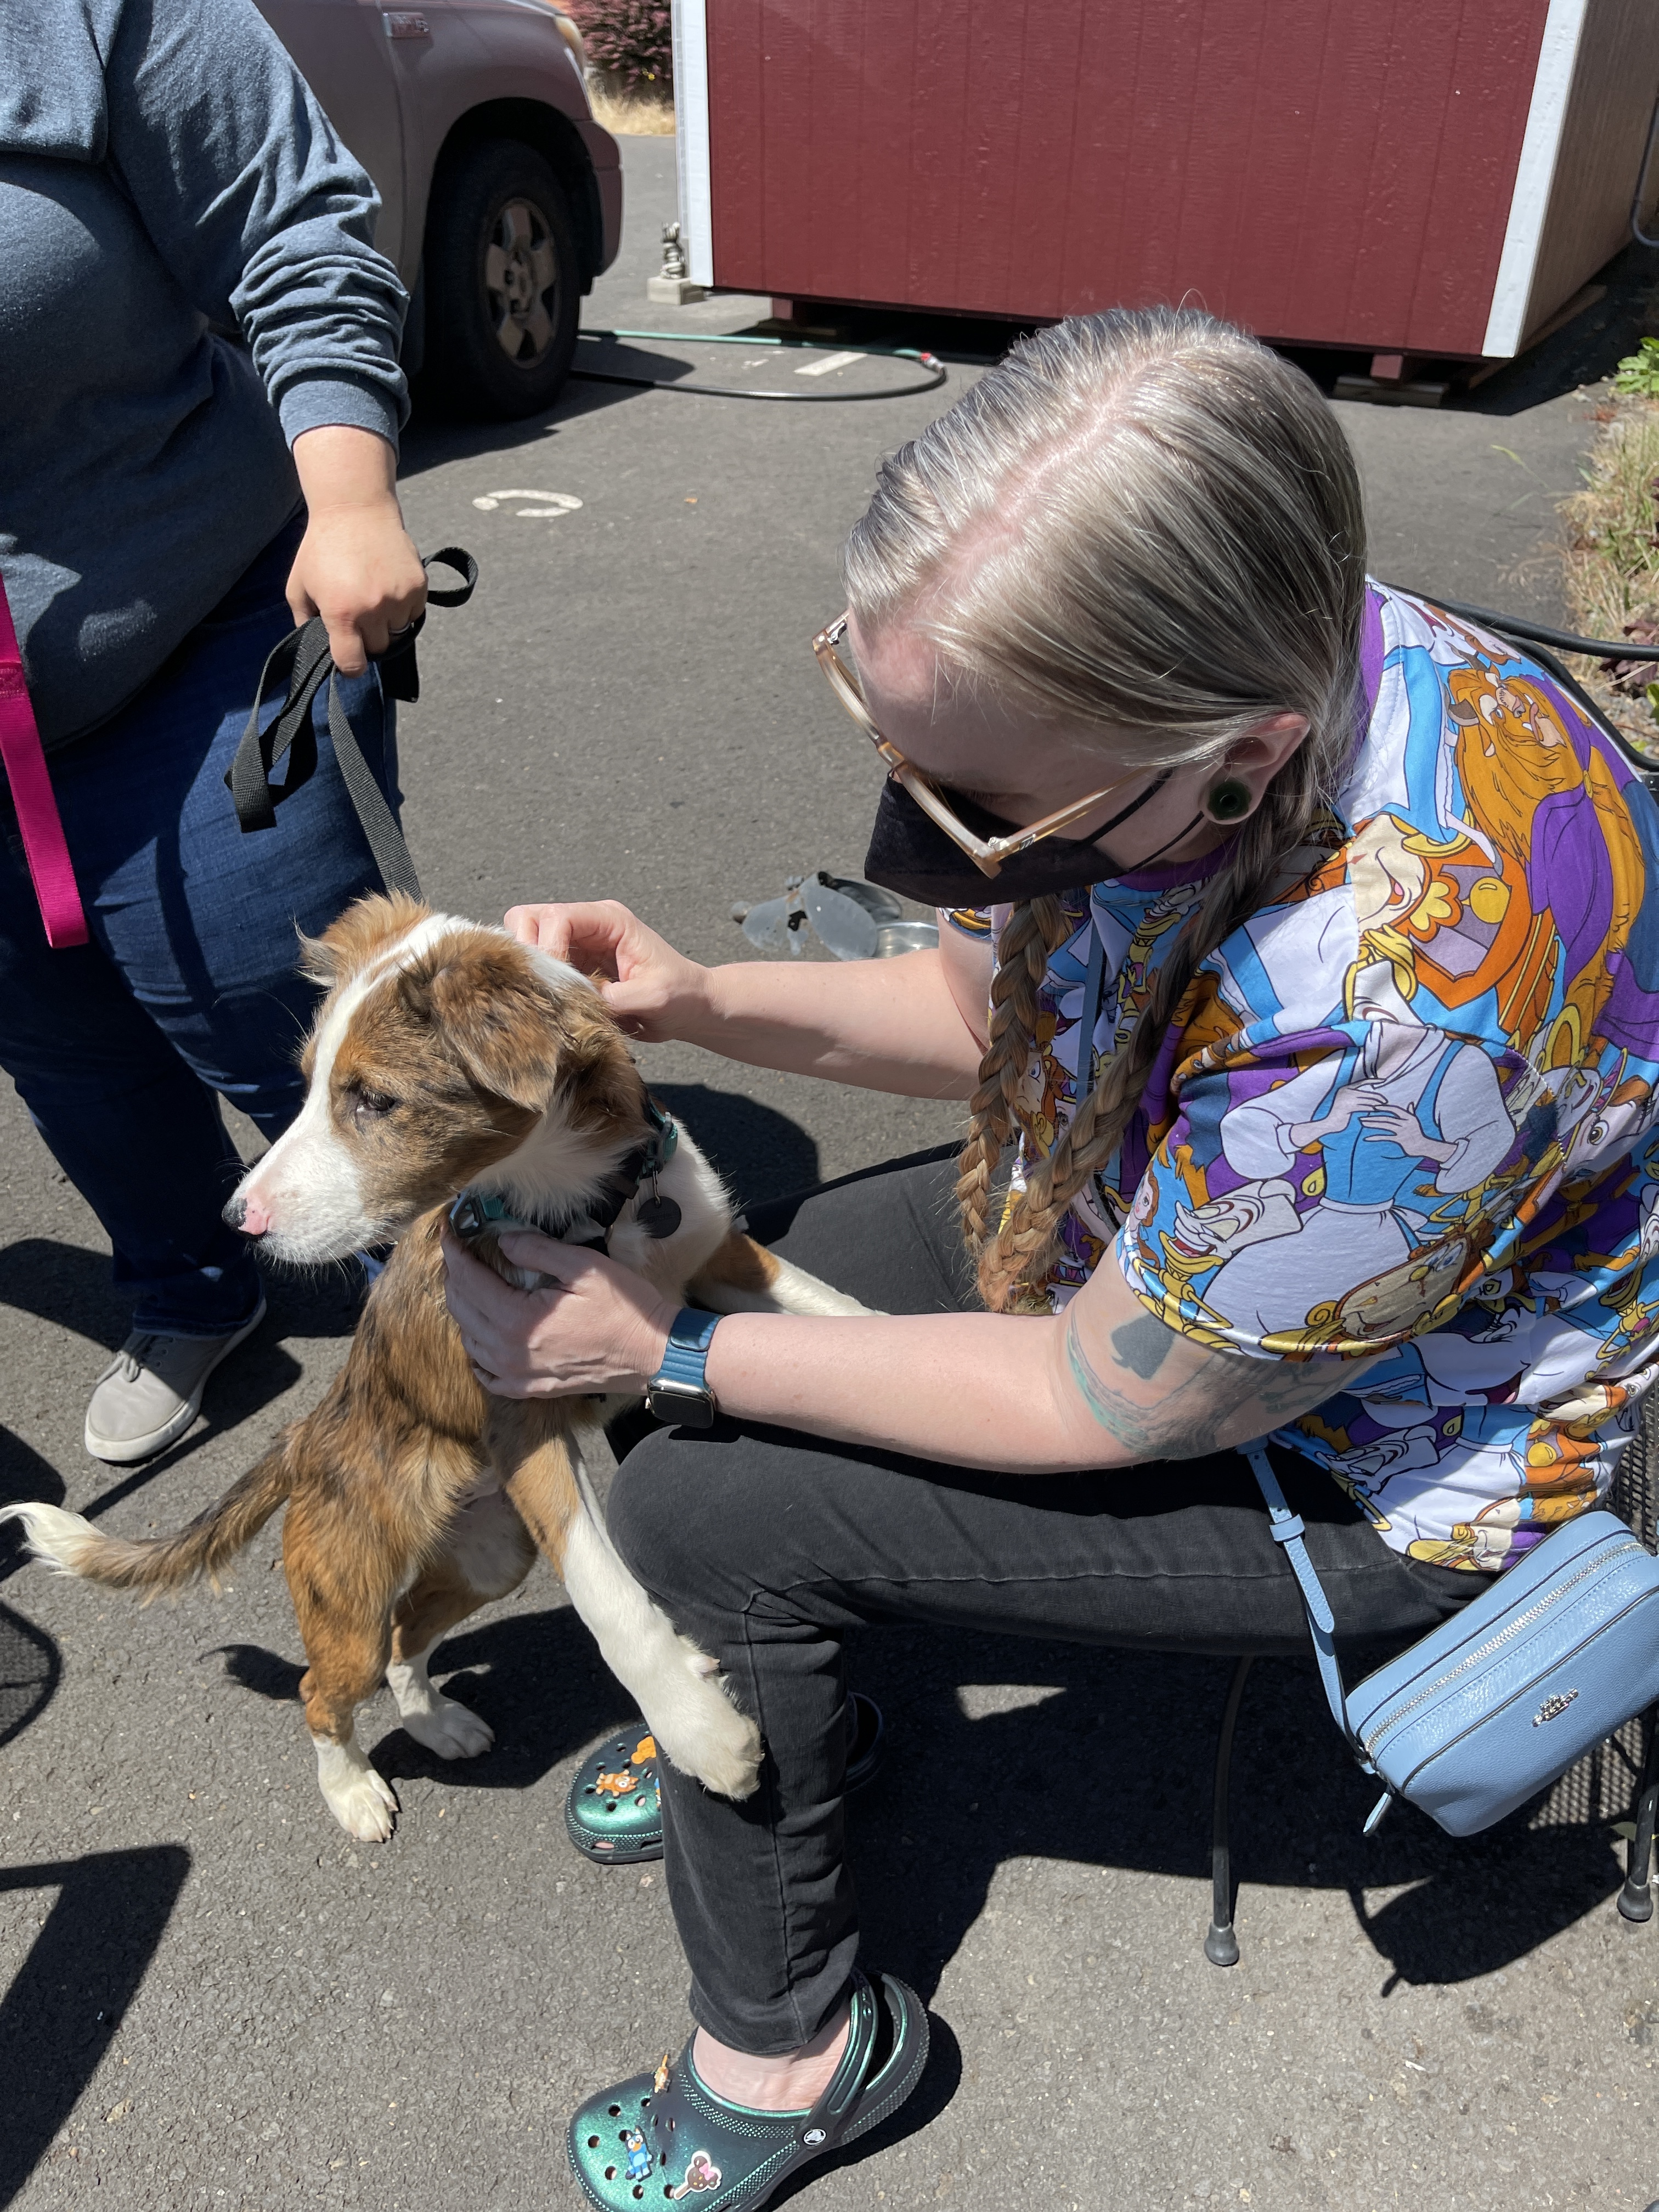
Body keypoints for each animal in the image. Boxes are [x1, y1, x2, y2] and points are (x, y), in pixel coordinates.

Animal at [3, 889, 871, 1840]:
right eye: (308, 1082)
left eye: (375, 1100)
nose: (238, 1221)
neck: (585, 1207)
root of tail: (304, 1438)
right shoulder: (522, 1415)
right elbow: (606, 1595)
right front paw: (699, 1732)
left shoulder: (723, 1263)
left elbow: (846, 1318)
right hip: (350, 1591)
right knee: (325, 1688)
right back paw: (352, 1794)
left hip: (492, 1552)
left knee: (403, 1642)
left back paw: (438, 1725)